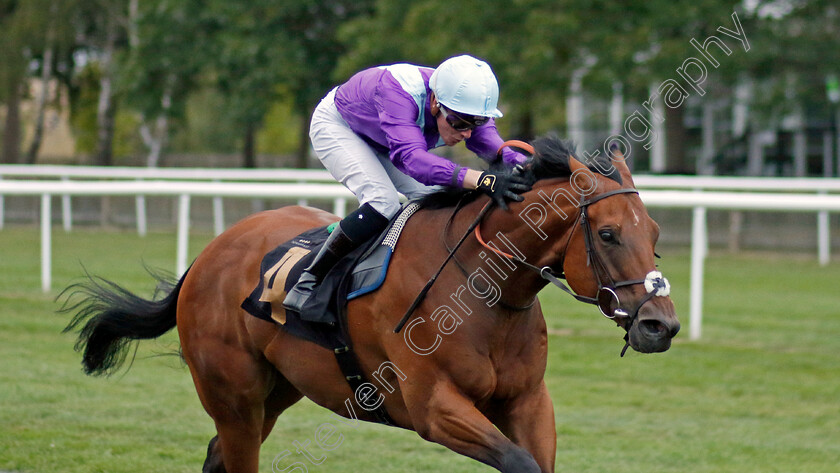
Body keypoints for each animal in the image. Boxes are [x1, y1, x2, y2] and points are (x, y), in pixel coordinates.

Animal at [64, 137, 684, 472]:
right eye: (608, 234)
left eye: (655, 232)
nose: (661, 325)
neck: (484, 291)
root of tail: (208, 254)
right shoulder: (433, 407)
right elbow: (517, 460)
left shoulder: (528, 401)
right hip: (232, 394)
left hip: (277, 392)